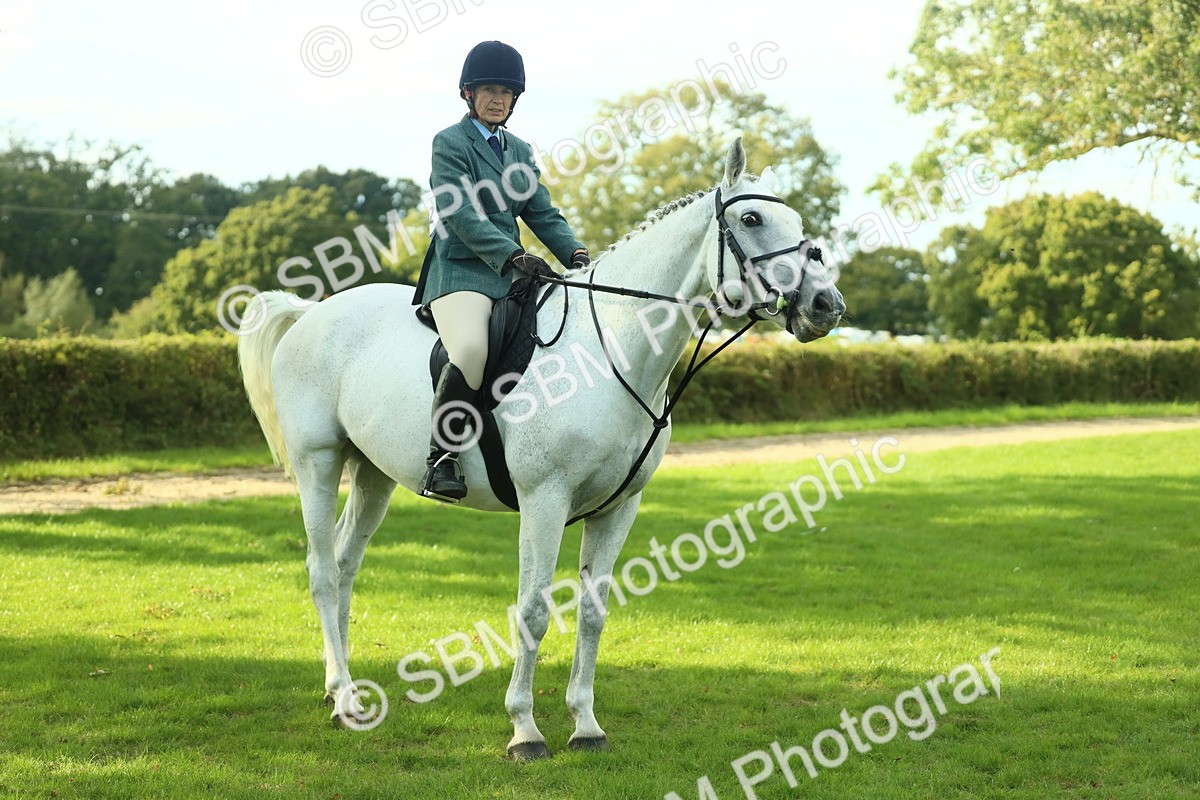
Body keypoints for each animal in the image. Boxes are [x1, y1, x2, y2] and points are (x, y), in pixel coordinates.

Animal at [236, 138, 845, 760]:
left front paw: (586, 724)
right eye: (751, 220)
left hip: (373, 473)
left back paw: (343, 687)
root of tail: (313, 311)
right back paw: (346, 701)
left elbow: (594, 611)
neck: (608, 353)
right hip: (318, 461)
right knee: (321, 571)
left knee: (344, 562)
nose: (825, 306)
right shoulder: (544, 500)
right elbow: (532, 610)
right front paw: (524, 731)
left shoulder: (619, 508)